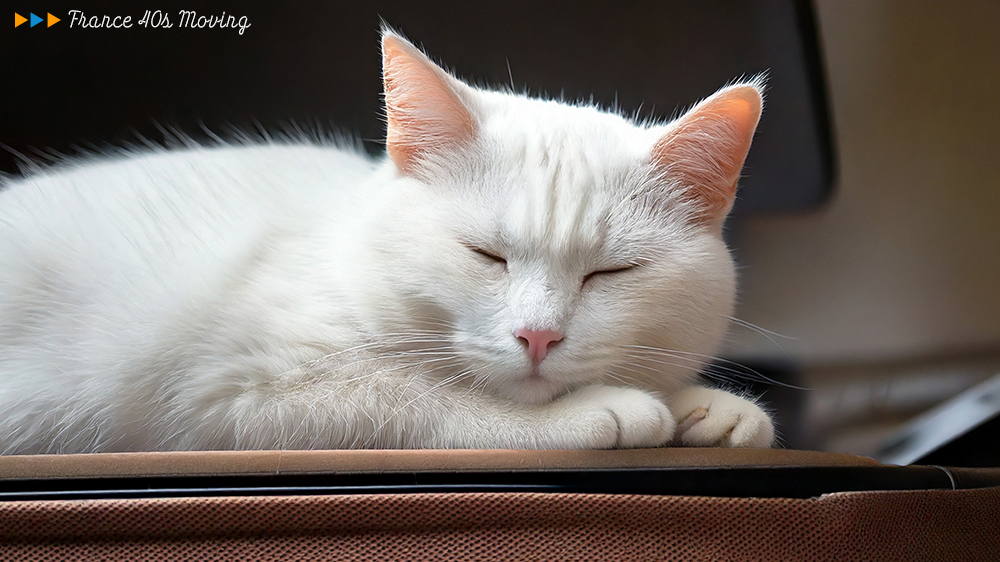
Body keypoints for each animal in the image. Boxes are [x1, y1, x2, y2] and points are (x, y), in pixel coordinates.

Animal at [0, 30, 772, 452]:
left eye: (610, 273)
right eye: (485, 255)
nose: (539, 336)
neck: (337, 251)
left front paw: (706, 405)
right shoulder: (239, 391)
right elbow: (423, 400)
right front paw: (603, 410)